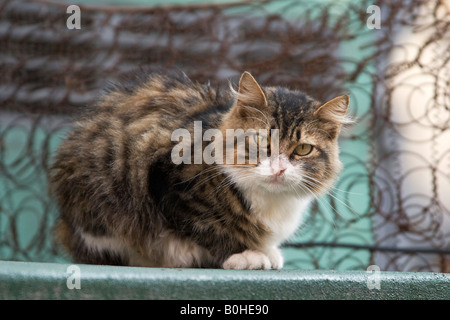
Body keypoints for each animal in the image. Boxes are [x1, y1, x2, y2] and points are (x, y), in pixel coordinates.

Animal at [50, 71, 352, 268]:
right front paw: (244, 254)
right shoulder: (166, 179)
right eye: (261, 141)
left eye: (303, 149)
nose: (278, 169)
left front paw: (267, 251)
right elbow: (207, 227)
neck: (271, 202)